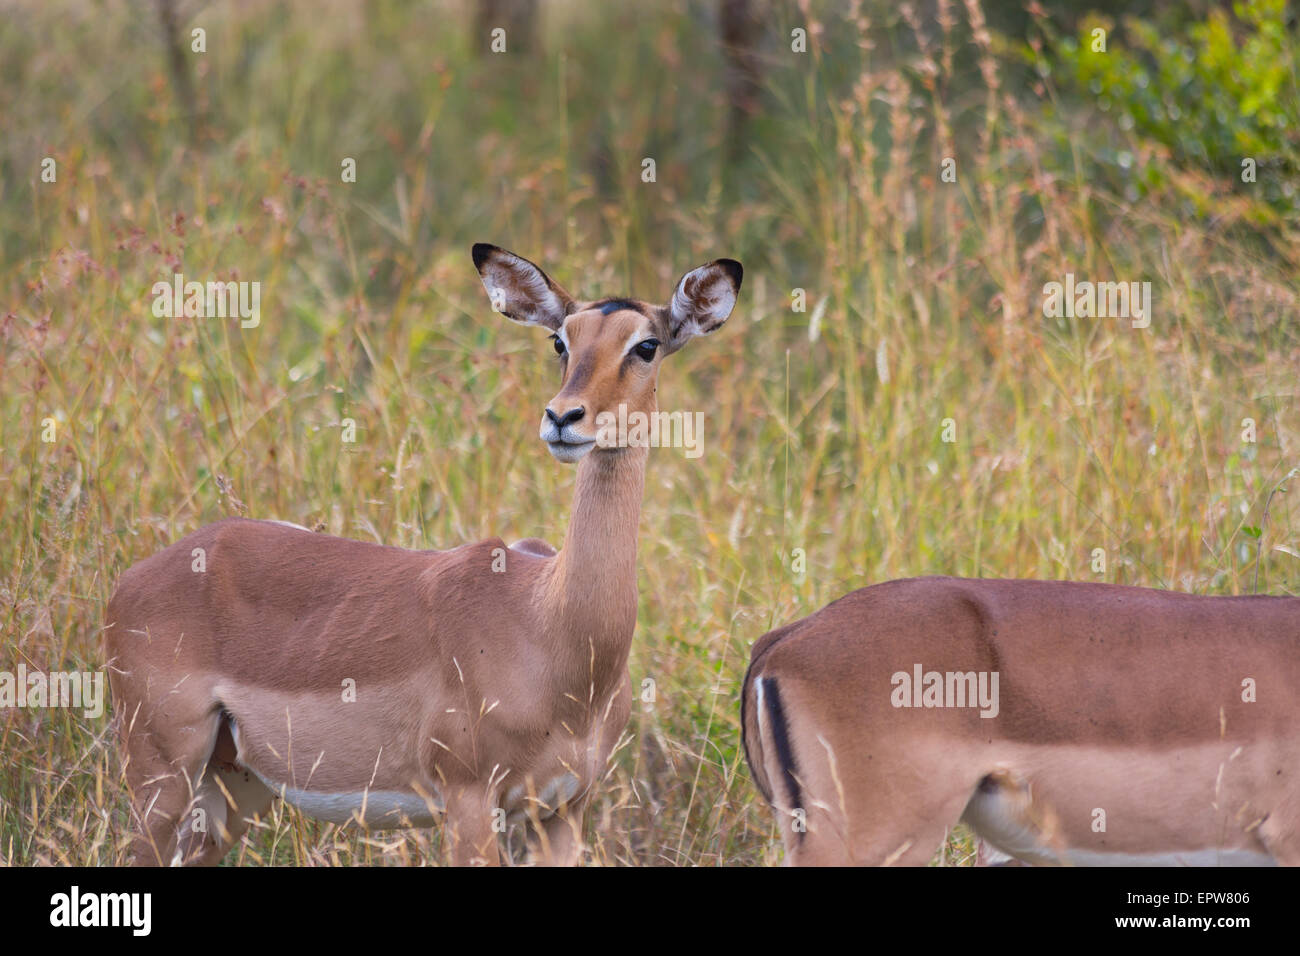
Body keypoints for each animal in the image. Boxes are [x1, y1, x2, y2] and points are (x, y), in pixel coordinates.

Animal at [105, 243, 742, 866]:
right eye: (561, 340)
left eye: (646, 345)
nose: (563, 417)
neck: (552, 629)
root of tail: (133, 579)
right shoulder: (469, 803)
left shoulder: (562, 810)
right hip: (163, 776)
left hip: (232, 788)